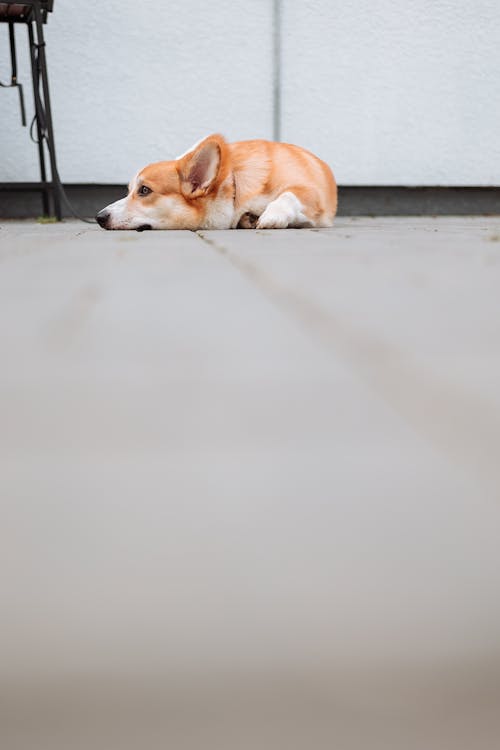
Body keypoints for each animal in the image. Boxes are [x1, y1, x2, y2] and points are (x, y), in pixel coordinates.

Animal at [95, 134, 338, 231]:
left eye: (144, 190)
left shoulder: (308, 191)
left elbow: (287, 195)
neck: (233, 184)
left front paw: (272, 216)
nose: (99, 217)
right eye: (129, 190)